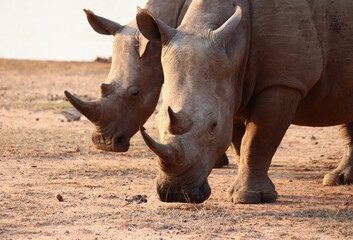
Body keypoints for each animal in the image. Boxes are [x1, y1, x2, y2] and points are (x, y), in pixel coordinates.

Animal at [137, 0, 352, 203]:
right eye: (157, 120)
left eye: (213, 125)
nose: (174, 194)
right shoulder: (232, 89)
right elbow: (240, 144)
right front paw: (240, 191)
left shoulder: (282, 82)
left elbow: (256, 140)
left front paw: (248, 197)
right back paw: (339, 180)